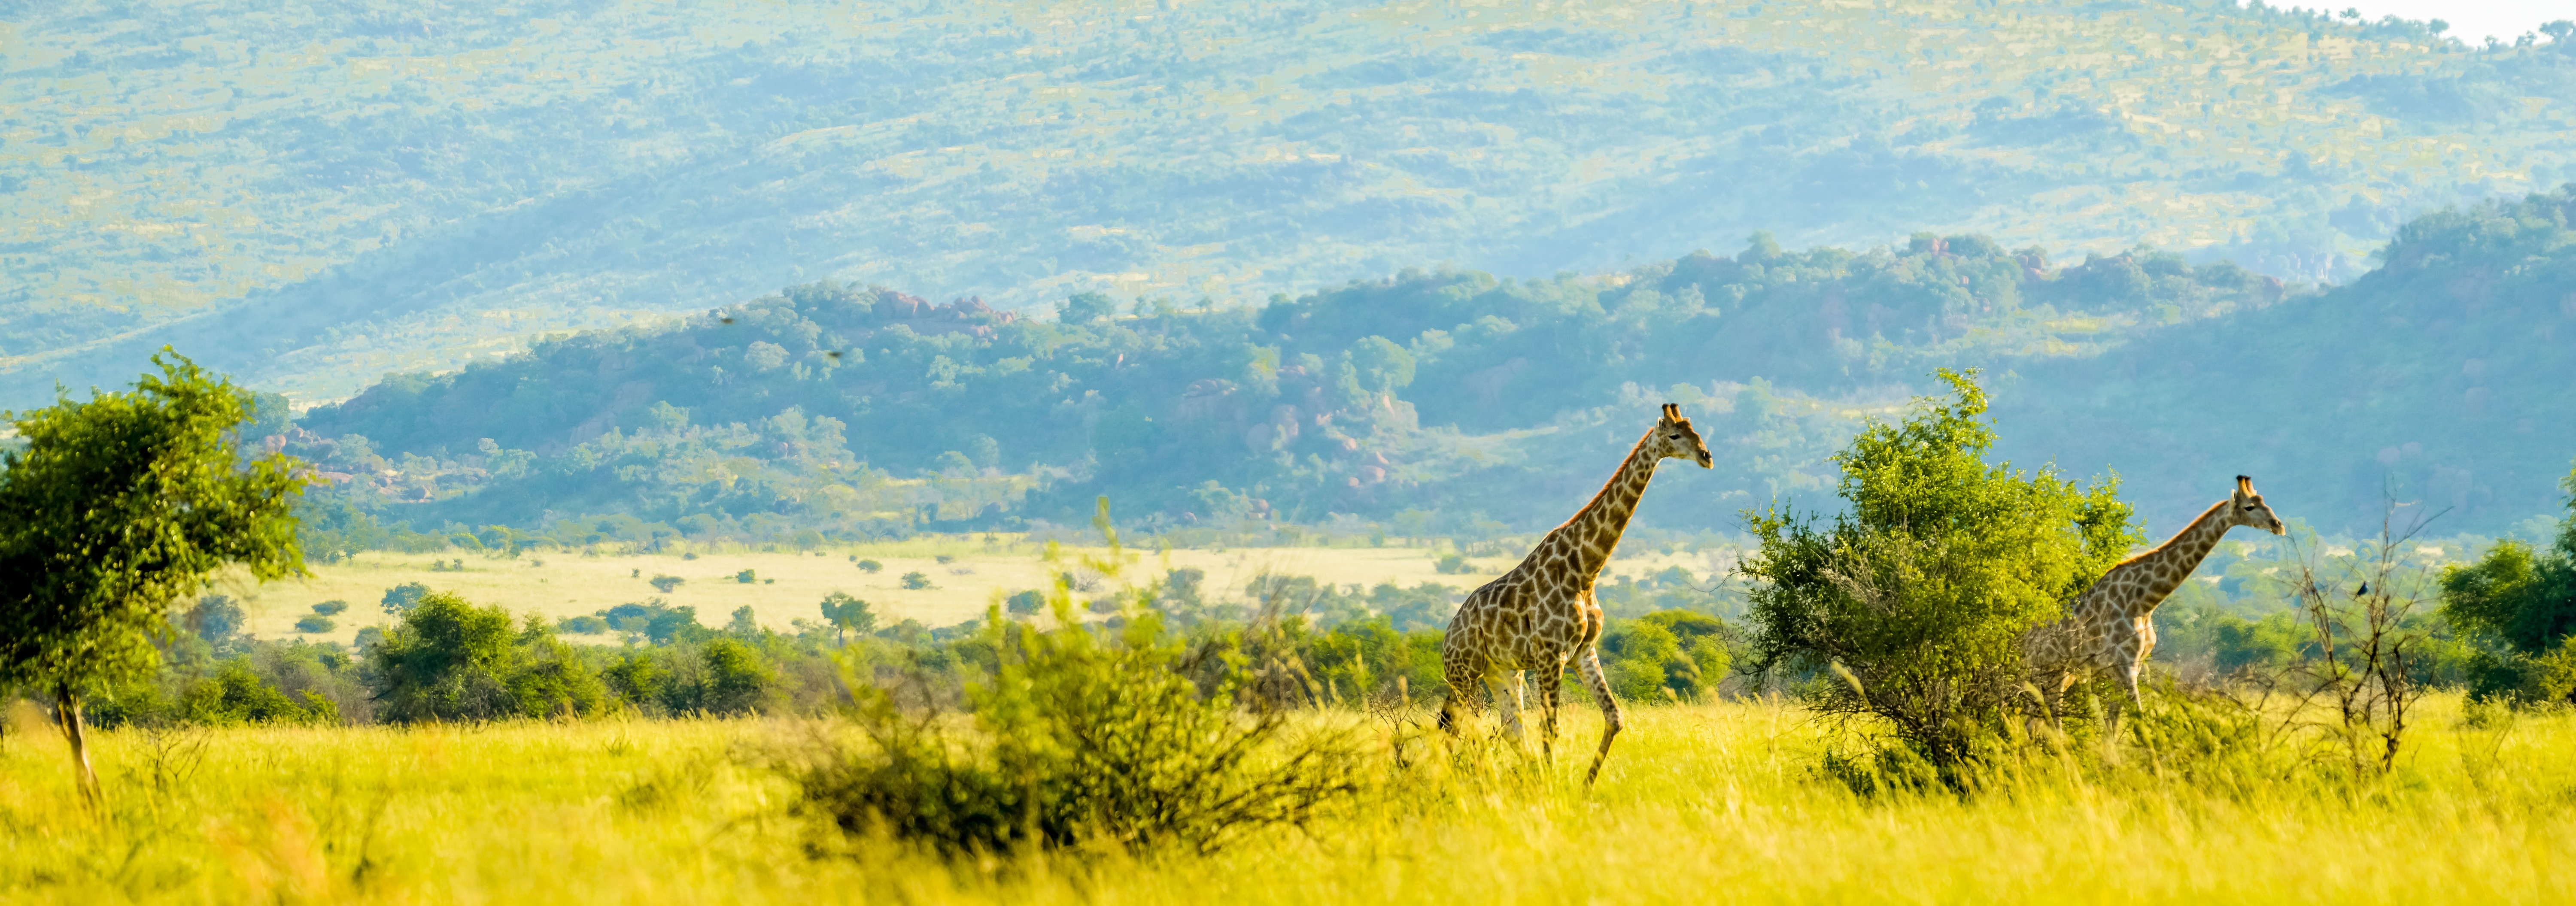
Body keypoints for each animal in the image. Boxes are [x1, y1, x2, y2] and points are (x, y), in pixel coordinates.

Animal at [1432, 399, 1710, 782]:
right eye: (1675, 436)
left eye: (1697, 431)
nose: (1707, 456)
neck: (1586, 570)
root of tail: (1448, 633)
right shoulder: (1552, 655)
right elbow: (1551, 727)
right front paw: (1555, 787)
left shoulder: (1584, 652)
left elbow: (1615, 717)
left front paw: (1583, 787)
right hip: (1465, 672)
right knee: (1456, 727)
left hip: (1503, 672)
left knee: (1509, 729)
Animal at [2020, 479, 2287, 731]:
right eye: (2250, 507)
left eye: (2265, 502)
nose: (2279, 525)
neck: (2144, 603)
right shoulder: (2124, 666)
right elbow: (2138, 720)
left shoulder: (2133, 666)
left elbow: (2114, 720)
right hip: (2040, 671)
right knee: (2041, 716)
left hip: (2062, 674)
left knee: (2038, 719)